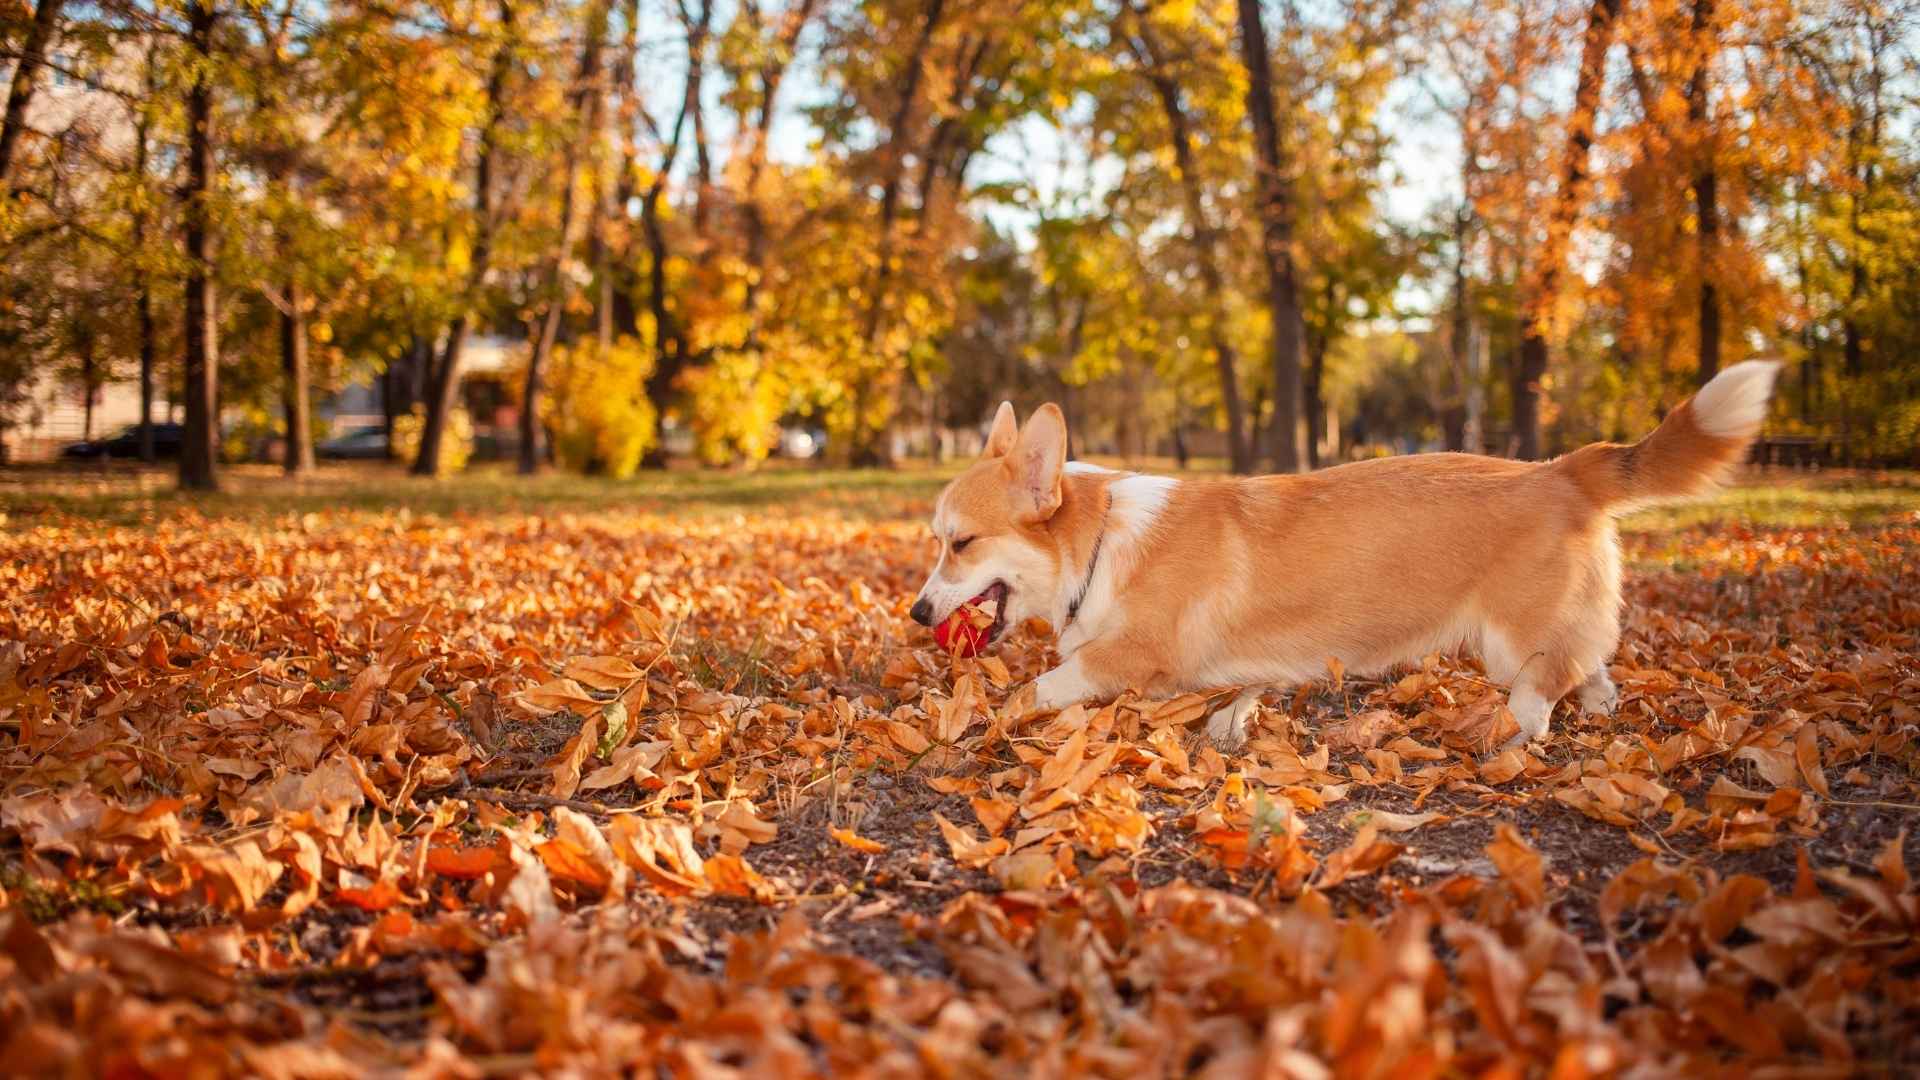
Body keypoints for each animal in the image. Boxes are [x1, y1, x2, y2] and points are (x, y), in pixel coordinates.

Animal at [913, 361, 1781, 749]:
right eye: (936, 539)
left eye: (961, 543)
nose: (918, 612)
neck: (1097, 543)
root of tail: (1561, 470)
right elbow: (1239, 694)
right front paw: (1230, 727)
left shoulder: (1132, 656)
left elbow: (1047, 683)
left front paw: (992, 713)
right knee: (1594, 657)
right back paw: (1598, 710)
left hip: (1508, 643)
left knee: (1548, 682)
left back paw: (1514, 733)